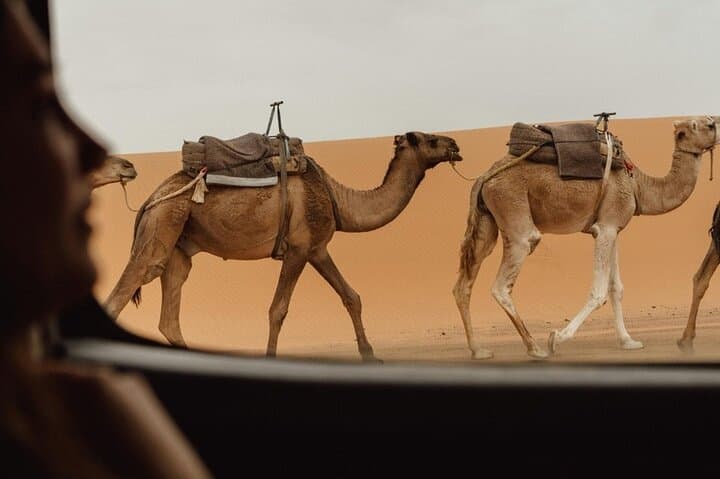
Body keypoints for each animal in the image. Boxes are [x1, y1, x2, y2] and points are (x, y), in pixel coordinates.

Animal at [104, 132, 461, 361]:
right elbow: (278, 309)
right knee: (128, 287)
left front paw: (371, 355)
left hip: (179, 245)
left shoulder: (318, 248)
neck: (338, 199)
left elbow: (351, 297)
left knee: (170, 314)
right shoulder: (298, 250)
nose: (455, 145)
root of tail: (151, 198)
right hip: (163, 223)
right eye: (429, 139)